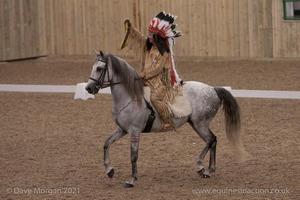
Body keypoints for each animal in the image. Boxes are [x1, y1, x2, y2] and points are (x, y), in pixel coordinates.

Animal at [85, 50, 247, 188]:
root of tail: (212, 89)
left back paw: (201, 166)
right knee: (212, 140)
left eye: (99, 68)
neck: (130, 97)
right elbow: (106, 144)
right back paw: (208, 170)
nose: (88, 88)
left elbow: (133, 156)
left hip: (200, 124)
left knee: (211, 139)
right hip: (196, 125)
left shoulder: (134, 132)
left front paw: (131, 180)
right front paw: (109, 170)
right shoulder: (122, 130)